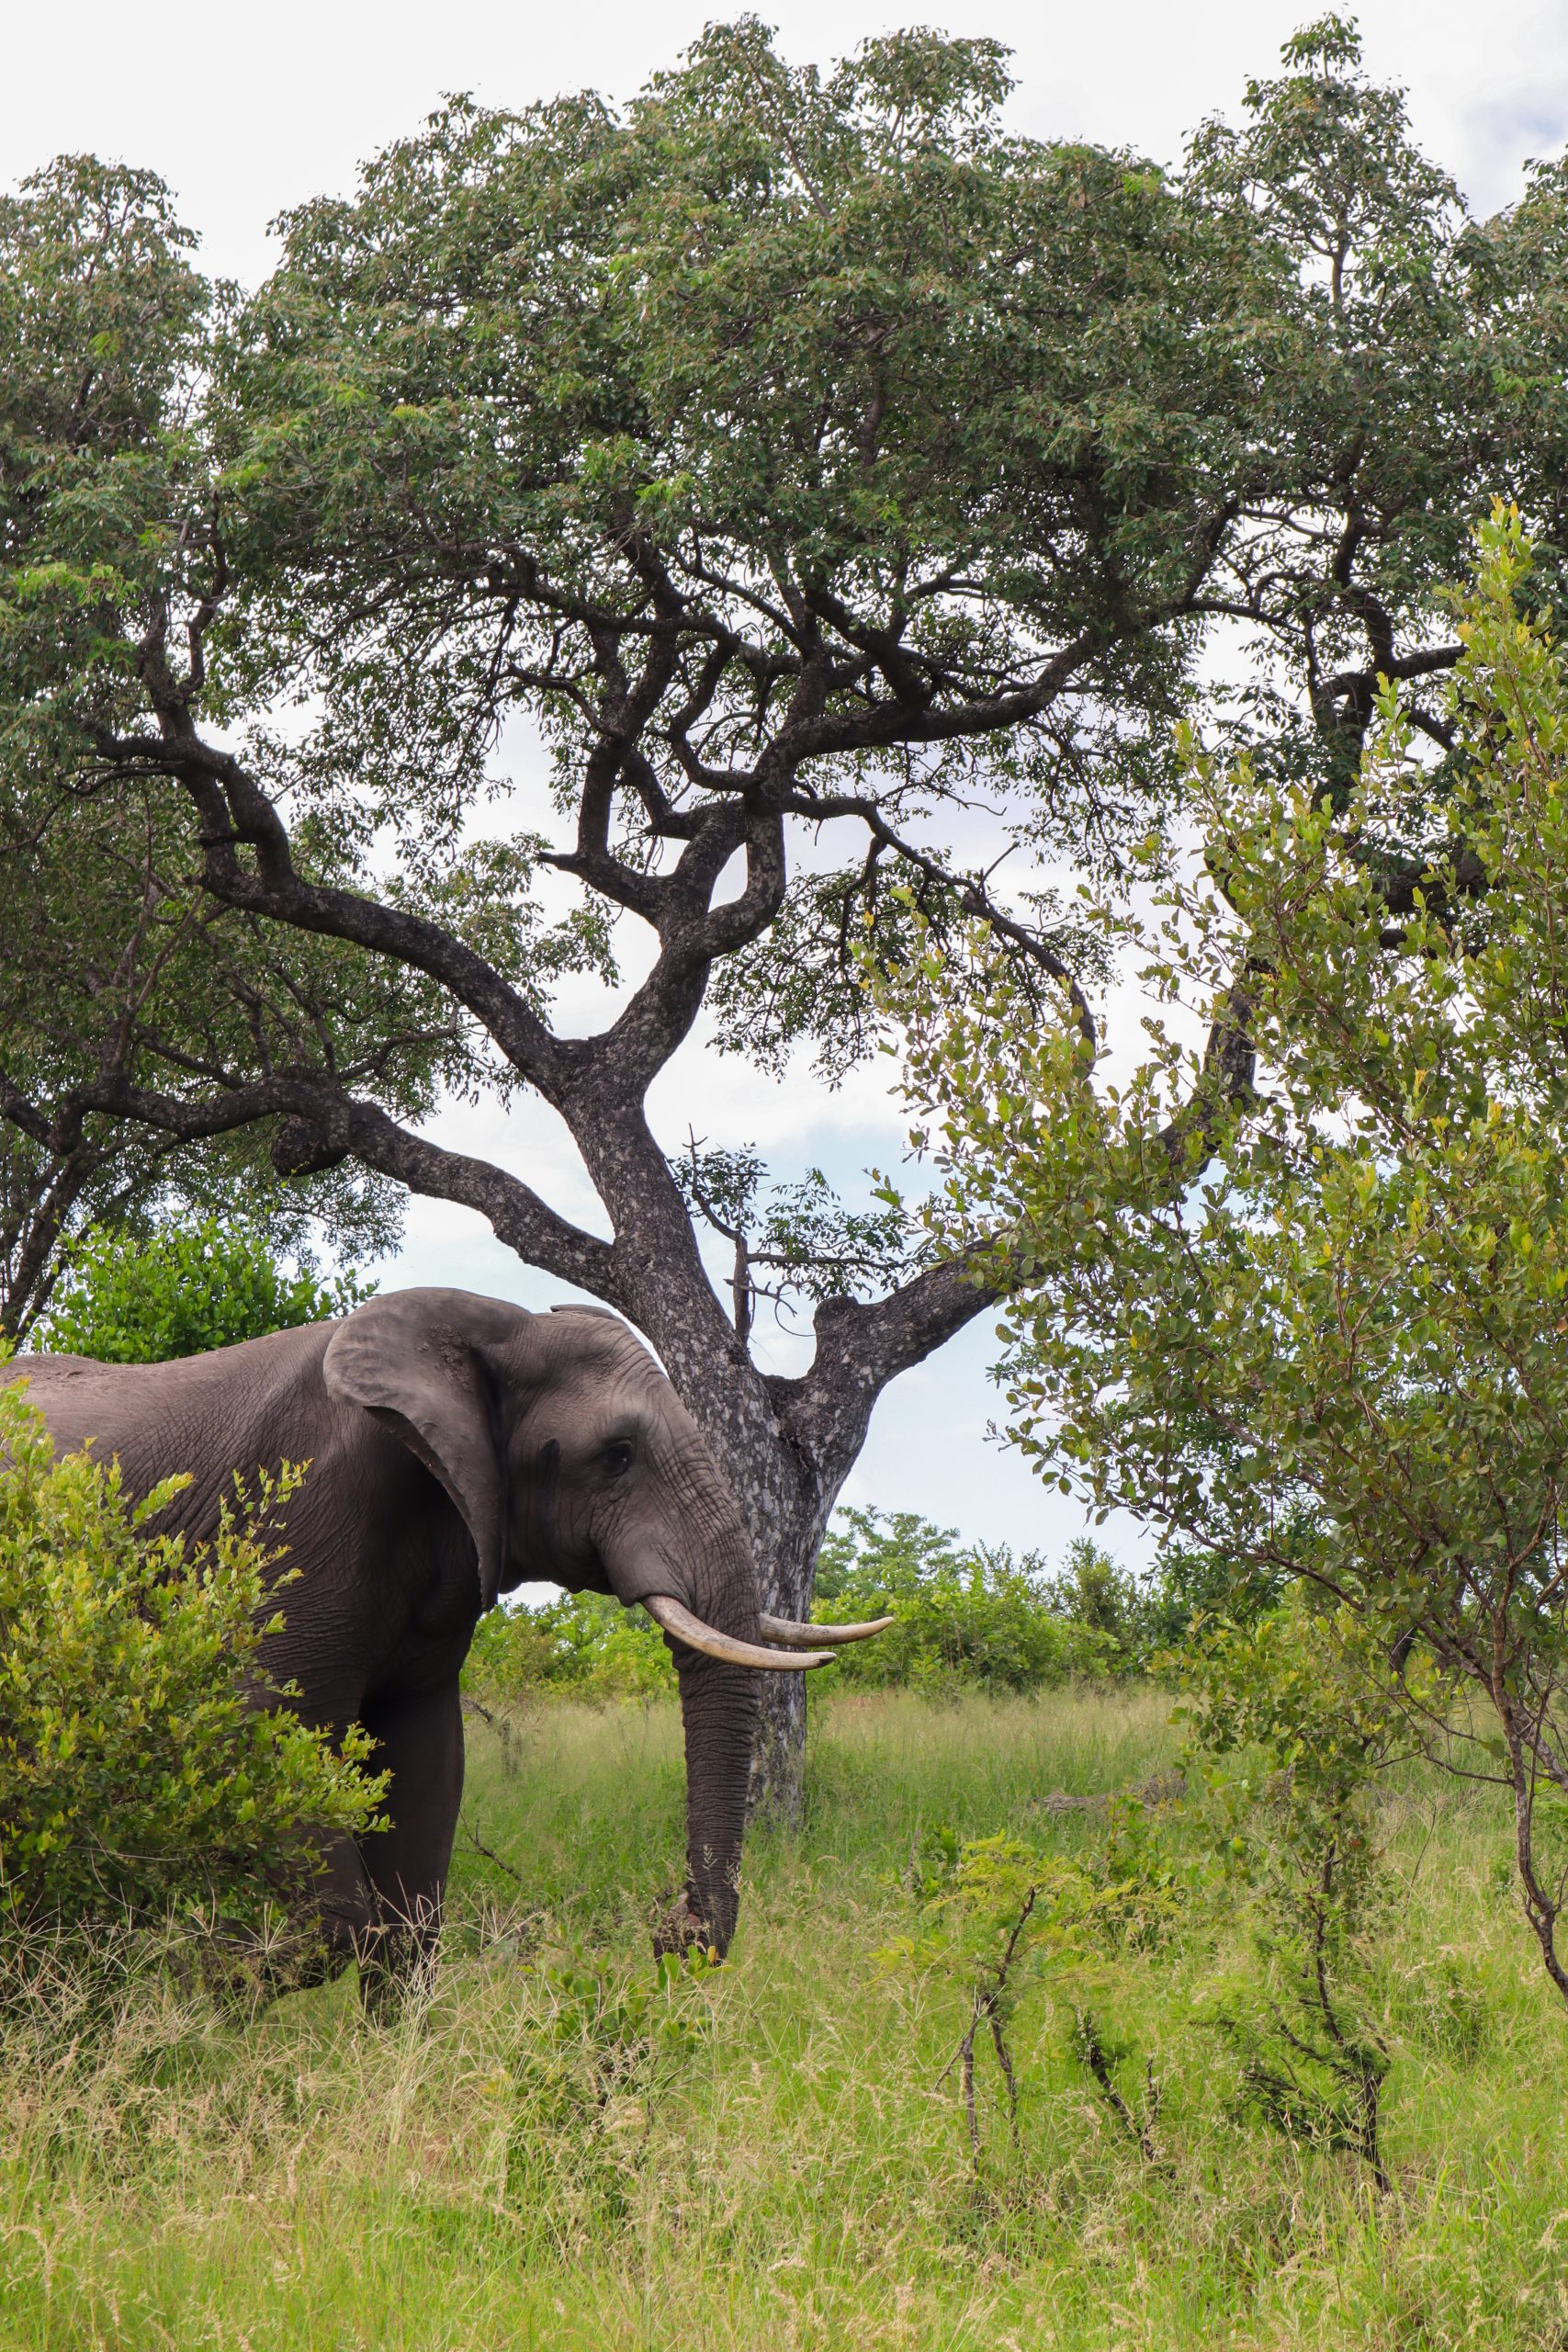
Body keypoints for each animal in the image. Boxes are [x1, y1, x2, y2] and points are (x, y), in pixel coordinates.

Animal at [6, 1287, 887, 1992]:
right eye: (617, 1456)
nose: (673, 1937)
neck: (490, 1331)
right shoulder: (301, 1517)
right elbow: (263, 1729)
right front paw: (201, 1979)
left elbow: (426, 1768)